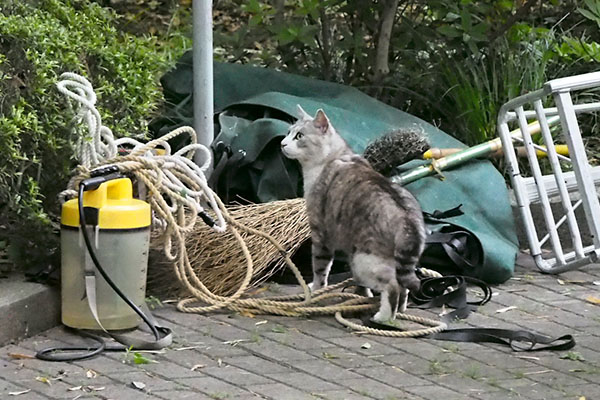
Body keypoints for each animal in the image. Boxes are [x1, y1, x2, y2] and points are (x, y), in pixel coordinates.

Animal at [282, 105, 426, 322]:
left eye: (299, 136)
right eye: (288, 132)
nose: (282, 143)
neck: (332, 157)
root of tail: (407, 218)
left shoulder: (321, 233)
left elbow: (320, 269)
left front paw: (315, 290)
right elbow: (359, 285)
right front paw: (361, 295)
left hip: (364, 261)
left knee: (393, 286)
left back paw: (381, 318)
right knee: (404, 286)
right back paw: (398, 312)